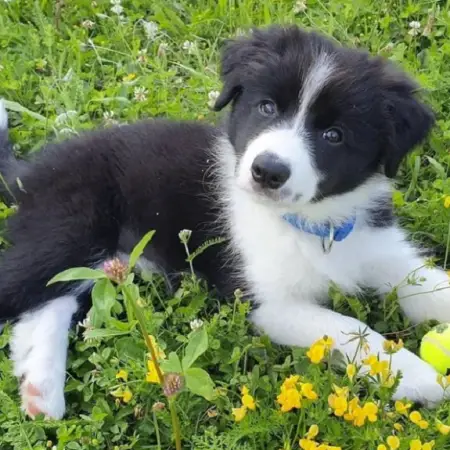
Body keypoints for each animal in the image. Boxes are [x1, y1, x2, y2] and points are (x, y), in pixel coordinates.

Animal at [0, 25, 450, 418]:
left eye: (334, 135)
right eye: (267, 107)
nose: (267, 171)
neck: (312, 224)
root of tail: (31, 172)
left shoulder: (380, 247)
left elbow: (430, 286)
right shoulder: (265, 301)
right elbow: (346, 326)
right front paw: (416, 375)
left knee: (50, 300)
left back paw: (40, 390)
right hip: (71, 227)